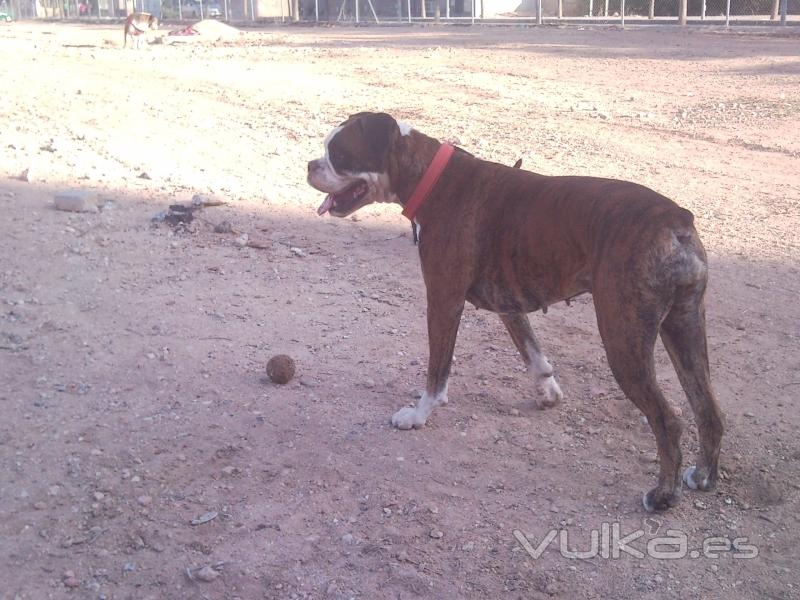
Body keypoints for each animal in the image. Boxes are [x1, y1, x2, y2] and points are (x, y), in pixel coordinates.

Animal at [306, 112, 724, 510]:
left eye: (339, 155)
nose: (310, 165)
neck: (431, 177)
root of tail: (675, 219)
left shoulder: (443, 300)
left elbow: (437, 372)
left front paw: (419, 415)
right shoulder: (510, 301)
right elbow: (533, 352)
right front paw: (549, 392)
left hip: (624, 341)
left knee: (668, 420)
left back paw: (663, 495)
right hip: (684, 328)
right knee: (708, 409)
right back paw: (703, 476)